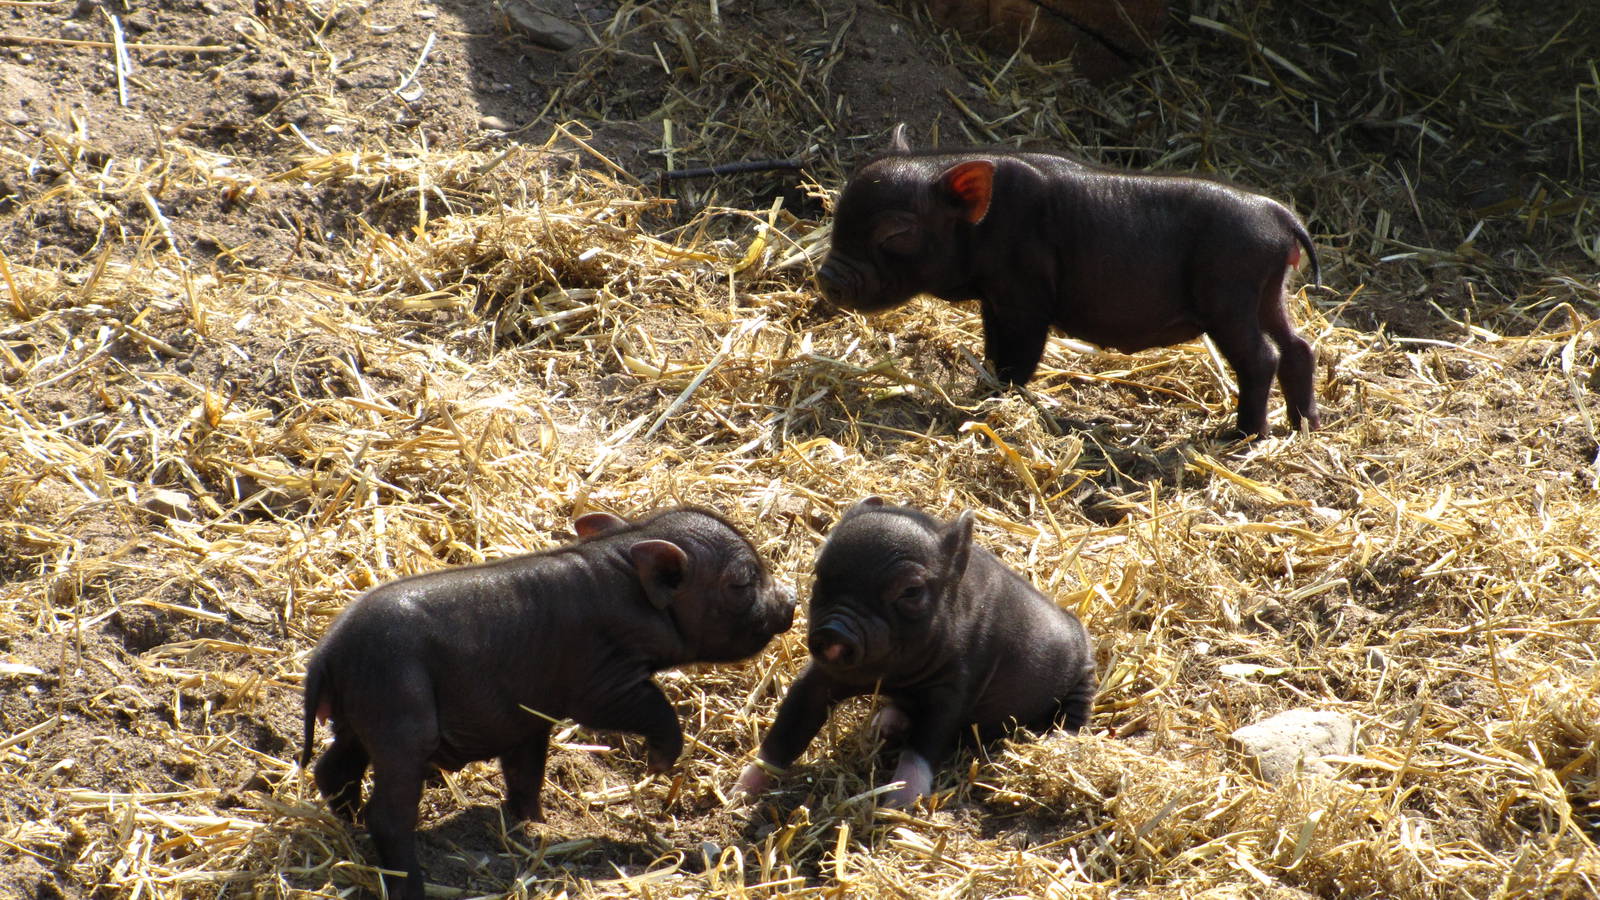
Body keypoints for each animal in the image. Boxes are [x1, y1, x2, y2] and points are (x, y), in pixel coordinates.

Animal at [301, 507, 796, 900]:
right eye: (743, 580)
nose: (791, 597)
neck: (629, 590)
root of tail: (328, 654)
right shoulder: (602, 684)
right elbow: (654, 708)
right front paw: (657, 766)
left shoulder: (526, 718)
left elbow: (527, 771)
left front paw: (536, 823)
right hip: (400, 717)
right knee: (386, 813)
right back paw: (411, 884)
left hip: (361, 719)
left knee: (332, 768)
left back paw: (347, 822)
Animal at [735, 497, 1095, 807]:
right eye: (819, 574)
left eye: (911, 591)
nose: (834, 630)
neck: (891, 675)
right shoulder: (822, 675)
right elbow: (789, 726)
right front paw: (739, 794)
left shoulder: (955, 687)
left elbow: (924, 745)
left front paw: (900, 805)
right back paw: (885, 724)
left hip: (1084, 674)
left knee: (1076, 713)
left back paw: (1058, 742)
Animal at [816, 126, 1323, 438]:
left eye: (894, 233)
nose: (826, 276)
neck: (986, 225)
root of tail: (1279, 216)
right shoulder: (995, 301)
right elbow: (993, 351)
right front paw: (983, 392)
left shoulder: (1025, 298)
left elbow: (1018, 358)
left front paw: (991, 401)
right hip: (1268, 292)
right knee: (1298, 347)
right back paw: (1304, 428)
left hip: (1229, 295)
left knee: (1262, 356)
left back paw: (1238, 438)